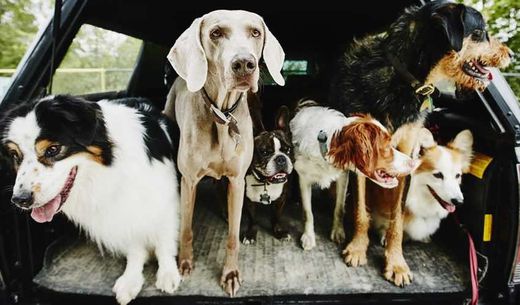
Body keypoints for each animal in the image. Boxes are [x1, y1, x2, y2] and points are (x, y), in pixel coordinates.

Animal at [0, 95, 180, 304]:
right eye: (15, 155)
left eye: (53, 149)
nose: (20, 199)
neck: (111, 167)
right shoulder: (123, 210)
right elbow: (134, 247)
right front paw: (131, 279)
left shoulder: (164, 201)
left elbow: (164, 241)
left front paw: (168, 274)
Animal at [162, 10, 284, 296]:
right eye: (215, 33)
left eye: (255, 32)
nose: (245, 64)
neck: (222, 115)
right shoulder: (189, 180)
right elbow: (186, 228)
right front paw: (185, 263)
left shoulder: (238, 181)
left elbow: (233, 235)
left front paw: (230, 274)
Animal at [332, 0, 510, 284]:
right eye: (480, 32)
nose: (510, 54)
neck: (404, 78)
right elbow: (361, 209)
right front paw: (358, 247)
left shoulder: (408, 154)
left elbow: (396, 220)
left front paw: (396, 263)